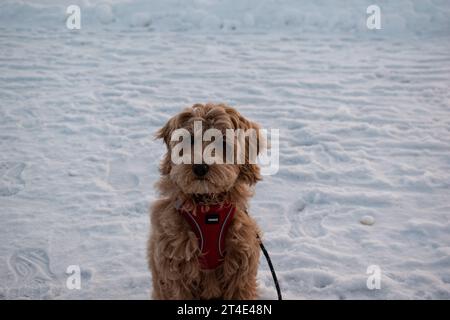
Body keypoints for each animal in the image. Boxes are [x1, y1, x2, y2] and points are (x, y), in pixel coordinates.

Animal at [148, 103, 262, 300]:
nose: (200, 167)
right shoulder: (174, 262)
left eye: (223, 142)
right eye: (190, 140)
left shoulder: (241, 258)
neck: (207, 206)